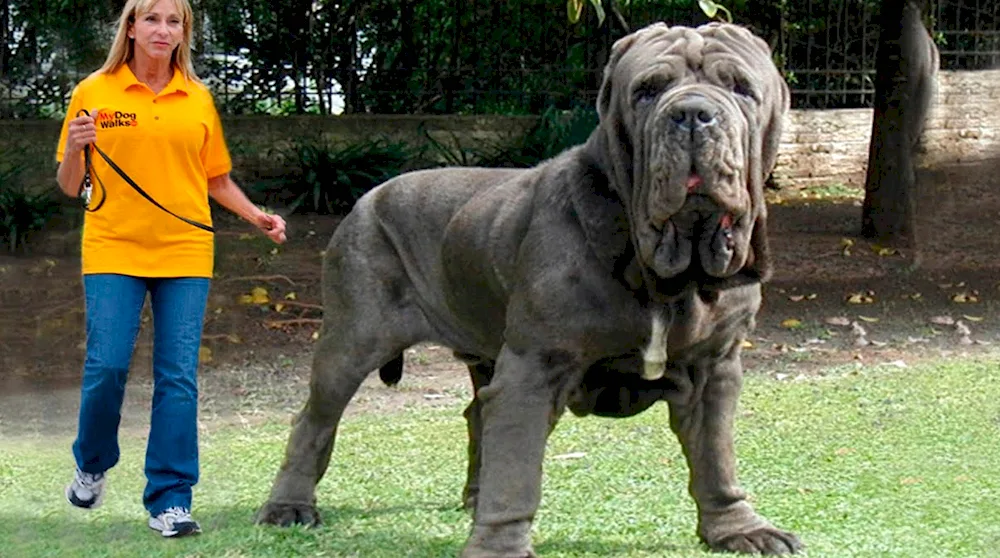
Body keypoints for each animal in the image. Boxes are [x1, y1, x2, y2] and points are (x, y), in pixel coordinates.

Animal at [256, 20, 796, 556]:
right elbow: (516, 473)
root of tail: (368, 196)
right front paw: (499, 547)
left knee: (476, 414)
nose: (692, 115)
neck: (663, 269)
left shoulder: (715, 368)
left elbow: (716, 455)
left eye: (741, 88)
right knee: (315, 418)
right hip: (352, 339)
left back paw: (474, 499)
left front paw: (737, 528)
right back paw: (288, 507)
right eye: (646, 91)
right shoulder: (534, 368)